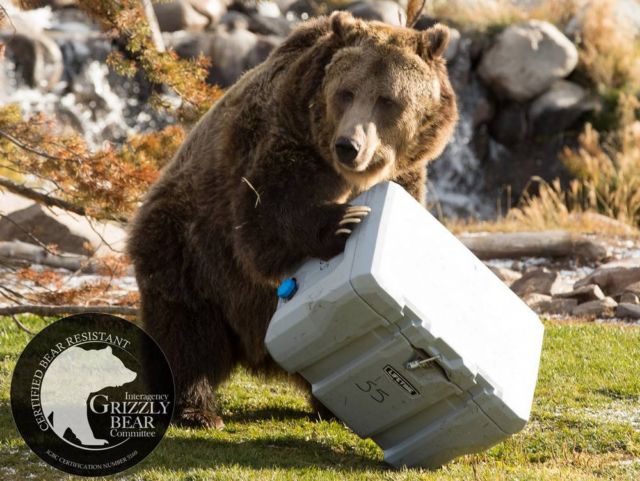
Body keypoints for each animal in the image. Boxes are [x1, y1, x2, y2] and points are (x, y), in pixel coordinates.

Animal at [127, 10, 458, 428]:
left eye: (388, 100)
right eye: (345, 92)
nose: (349, 146)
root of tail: (255, 351)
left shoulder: (406, 174)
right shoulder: (279, 139)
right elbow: (265, 221)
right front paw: (344, 222)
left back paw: (330, 408)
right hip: (188, 249)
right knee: (186, 332)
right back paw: (196, 408)